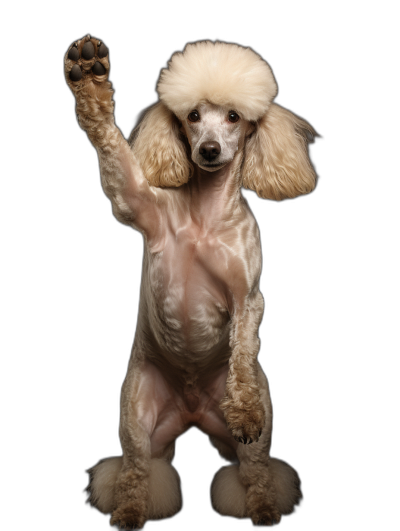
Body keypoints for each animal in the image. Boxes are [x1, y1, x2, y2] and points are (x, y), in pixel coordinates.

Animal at [64, 36, 318, 528]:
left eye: (234, 116)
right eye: (193, 116)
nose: (210, 150)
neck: (205, 214)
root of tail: (193, 414)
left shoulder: (248, 298)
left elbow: (244, 346)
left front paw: (245, 410)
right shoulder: (133, 199)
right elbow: (112, 147)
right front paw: (89, 72)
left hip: (254, 438)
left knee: (256, 471)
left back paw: (262, 508)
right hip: (137, 419)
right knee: (136, 470)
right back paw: (129, 511)